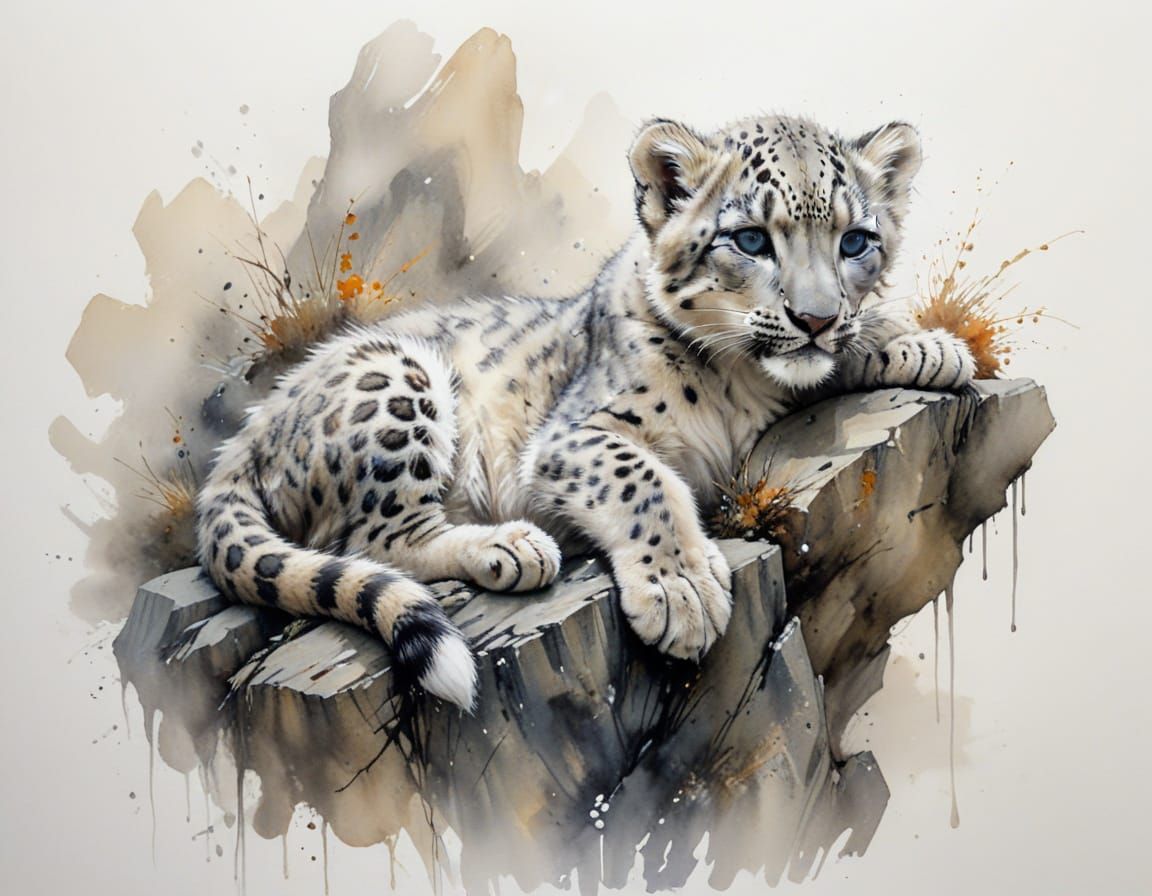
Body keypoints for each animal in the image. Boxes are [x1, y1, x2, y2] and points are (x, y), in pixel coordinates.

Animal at [196, 114, 976, 712]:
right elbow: (642, 476)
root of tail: (256, 426)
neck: (742, 384)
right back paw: (510, 547)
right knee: (373, 536)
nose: (816, 320)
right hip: (395, 380)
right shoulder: (571, 438)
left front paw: (923, 345)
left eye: (855, 241)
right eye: (751, 238)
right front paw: (681, 592)